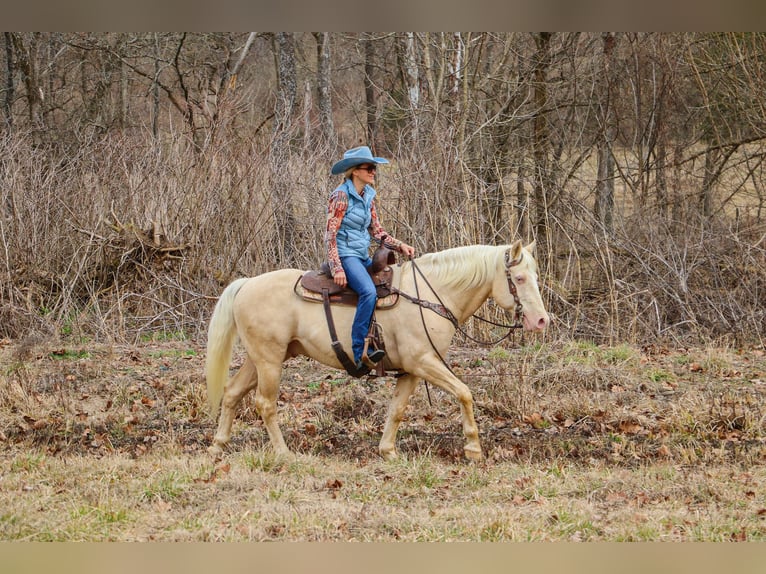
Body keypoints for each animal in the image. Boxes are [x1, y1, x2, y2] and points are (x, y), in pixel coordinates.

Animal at [206, 240, 552, 464]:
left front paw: (388, 451)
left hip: (262, 358)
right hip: (270, 360)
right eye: (519, 278)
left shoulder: (412, 370)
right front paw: (473, 449)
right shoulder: (425, 362)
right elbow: (464, 393)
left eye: (535, 276)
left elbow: (396, 409)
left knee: (232, 392)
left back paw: (218, 446)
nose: (541, 320)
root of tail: (247, 284)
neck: (431, 295)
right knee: (265, 403)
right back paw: (283, 453)